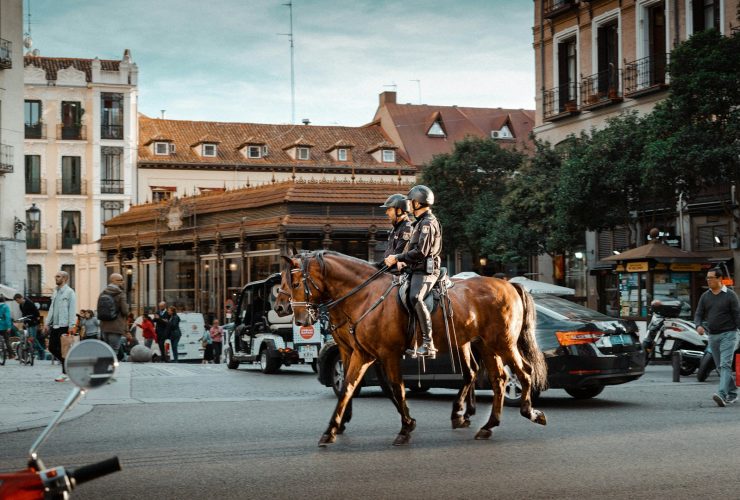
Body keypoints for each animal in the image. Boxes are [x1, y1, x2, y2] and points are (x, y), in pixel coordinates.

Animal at [274, 252, 548, 448]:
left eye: (295, 282)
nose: (283, 309)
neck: (364, 295)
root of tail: (510, 285)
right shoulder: (360, 353)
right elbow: (348, 388)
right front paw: (332, 428)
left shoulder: (385, 354)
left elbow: (395, 387)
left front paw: (406, 426)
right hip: (486, 345)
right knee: (496, 378)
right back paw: (487, 424)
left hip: (503, 343)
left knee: (523, 372)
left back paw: (530, 412)